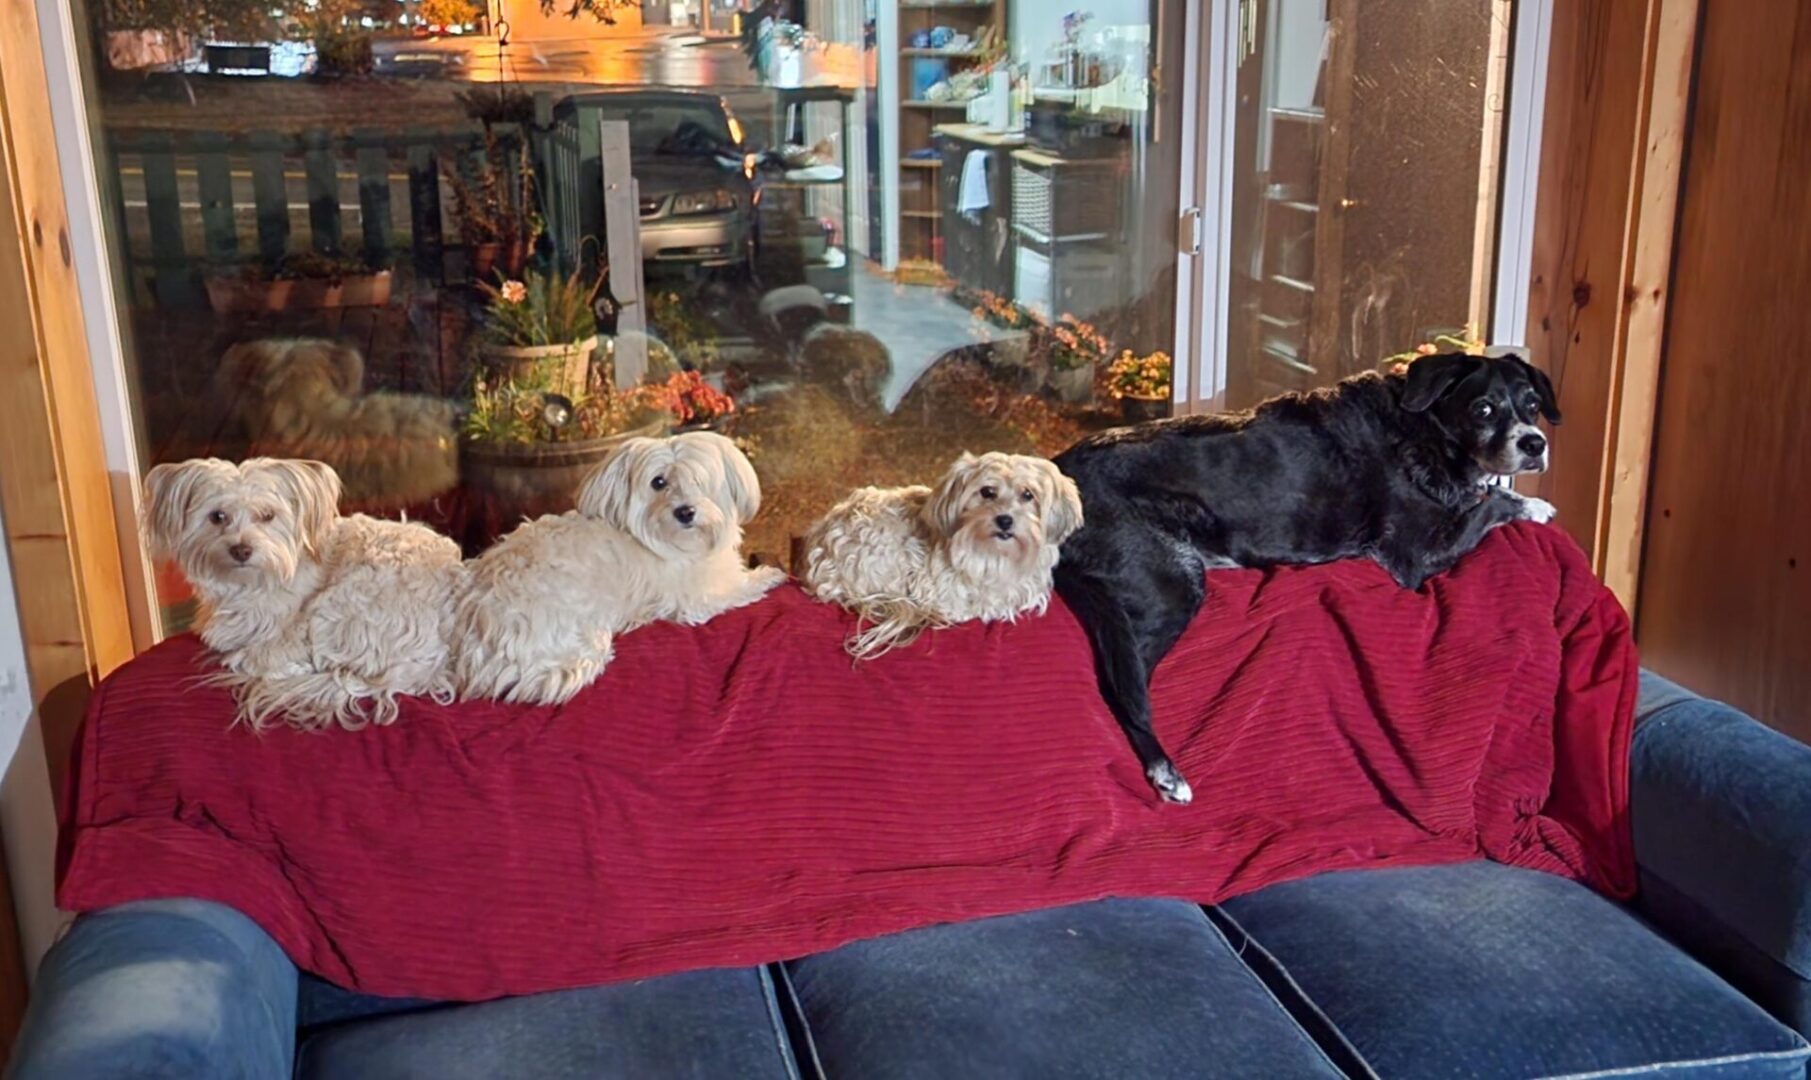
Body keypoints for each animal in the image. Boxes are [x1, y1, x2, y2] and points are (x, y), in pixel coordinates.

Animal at [143, 457, 464, 731]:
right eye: (217, 516)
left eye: (268, 515)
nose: (241, 549)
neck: (248, 583)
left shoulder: (294, 632)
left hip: (338, 602)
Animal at [455, 431, 784, 705]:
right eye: (658, 482)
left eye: (699, 479)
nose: (685, 511)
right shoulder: (697, 599)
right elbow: (739, 589)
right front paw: (769, 575)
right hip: (583, 639)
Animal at [1052, 352, 1562, 804]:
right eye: (1483, 409)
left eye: (1533, 403)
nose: (1535, 444)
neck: (1425, 432)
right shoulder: (1416, 555)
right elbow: (1491, 503)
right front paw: (1535, 505)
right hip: (1174, 583)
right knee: (1121, 686)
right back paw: (1166, 772)